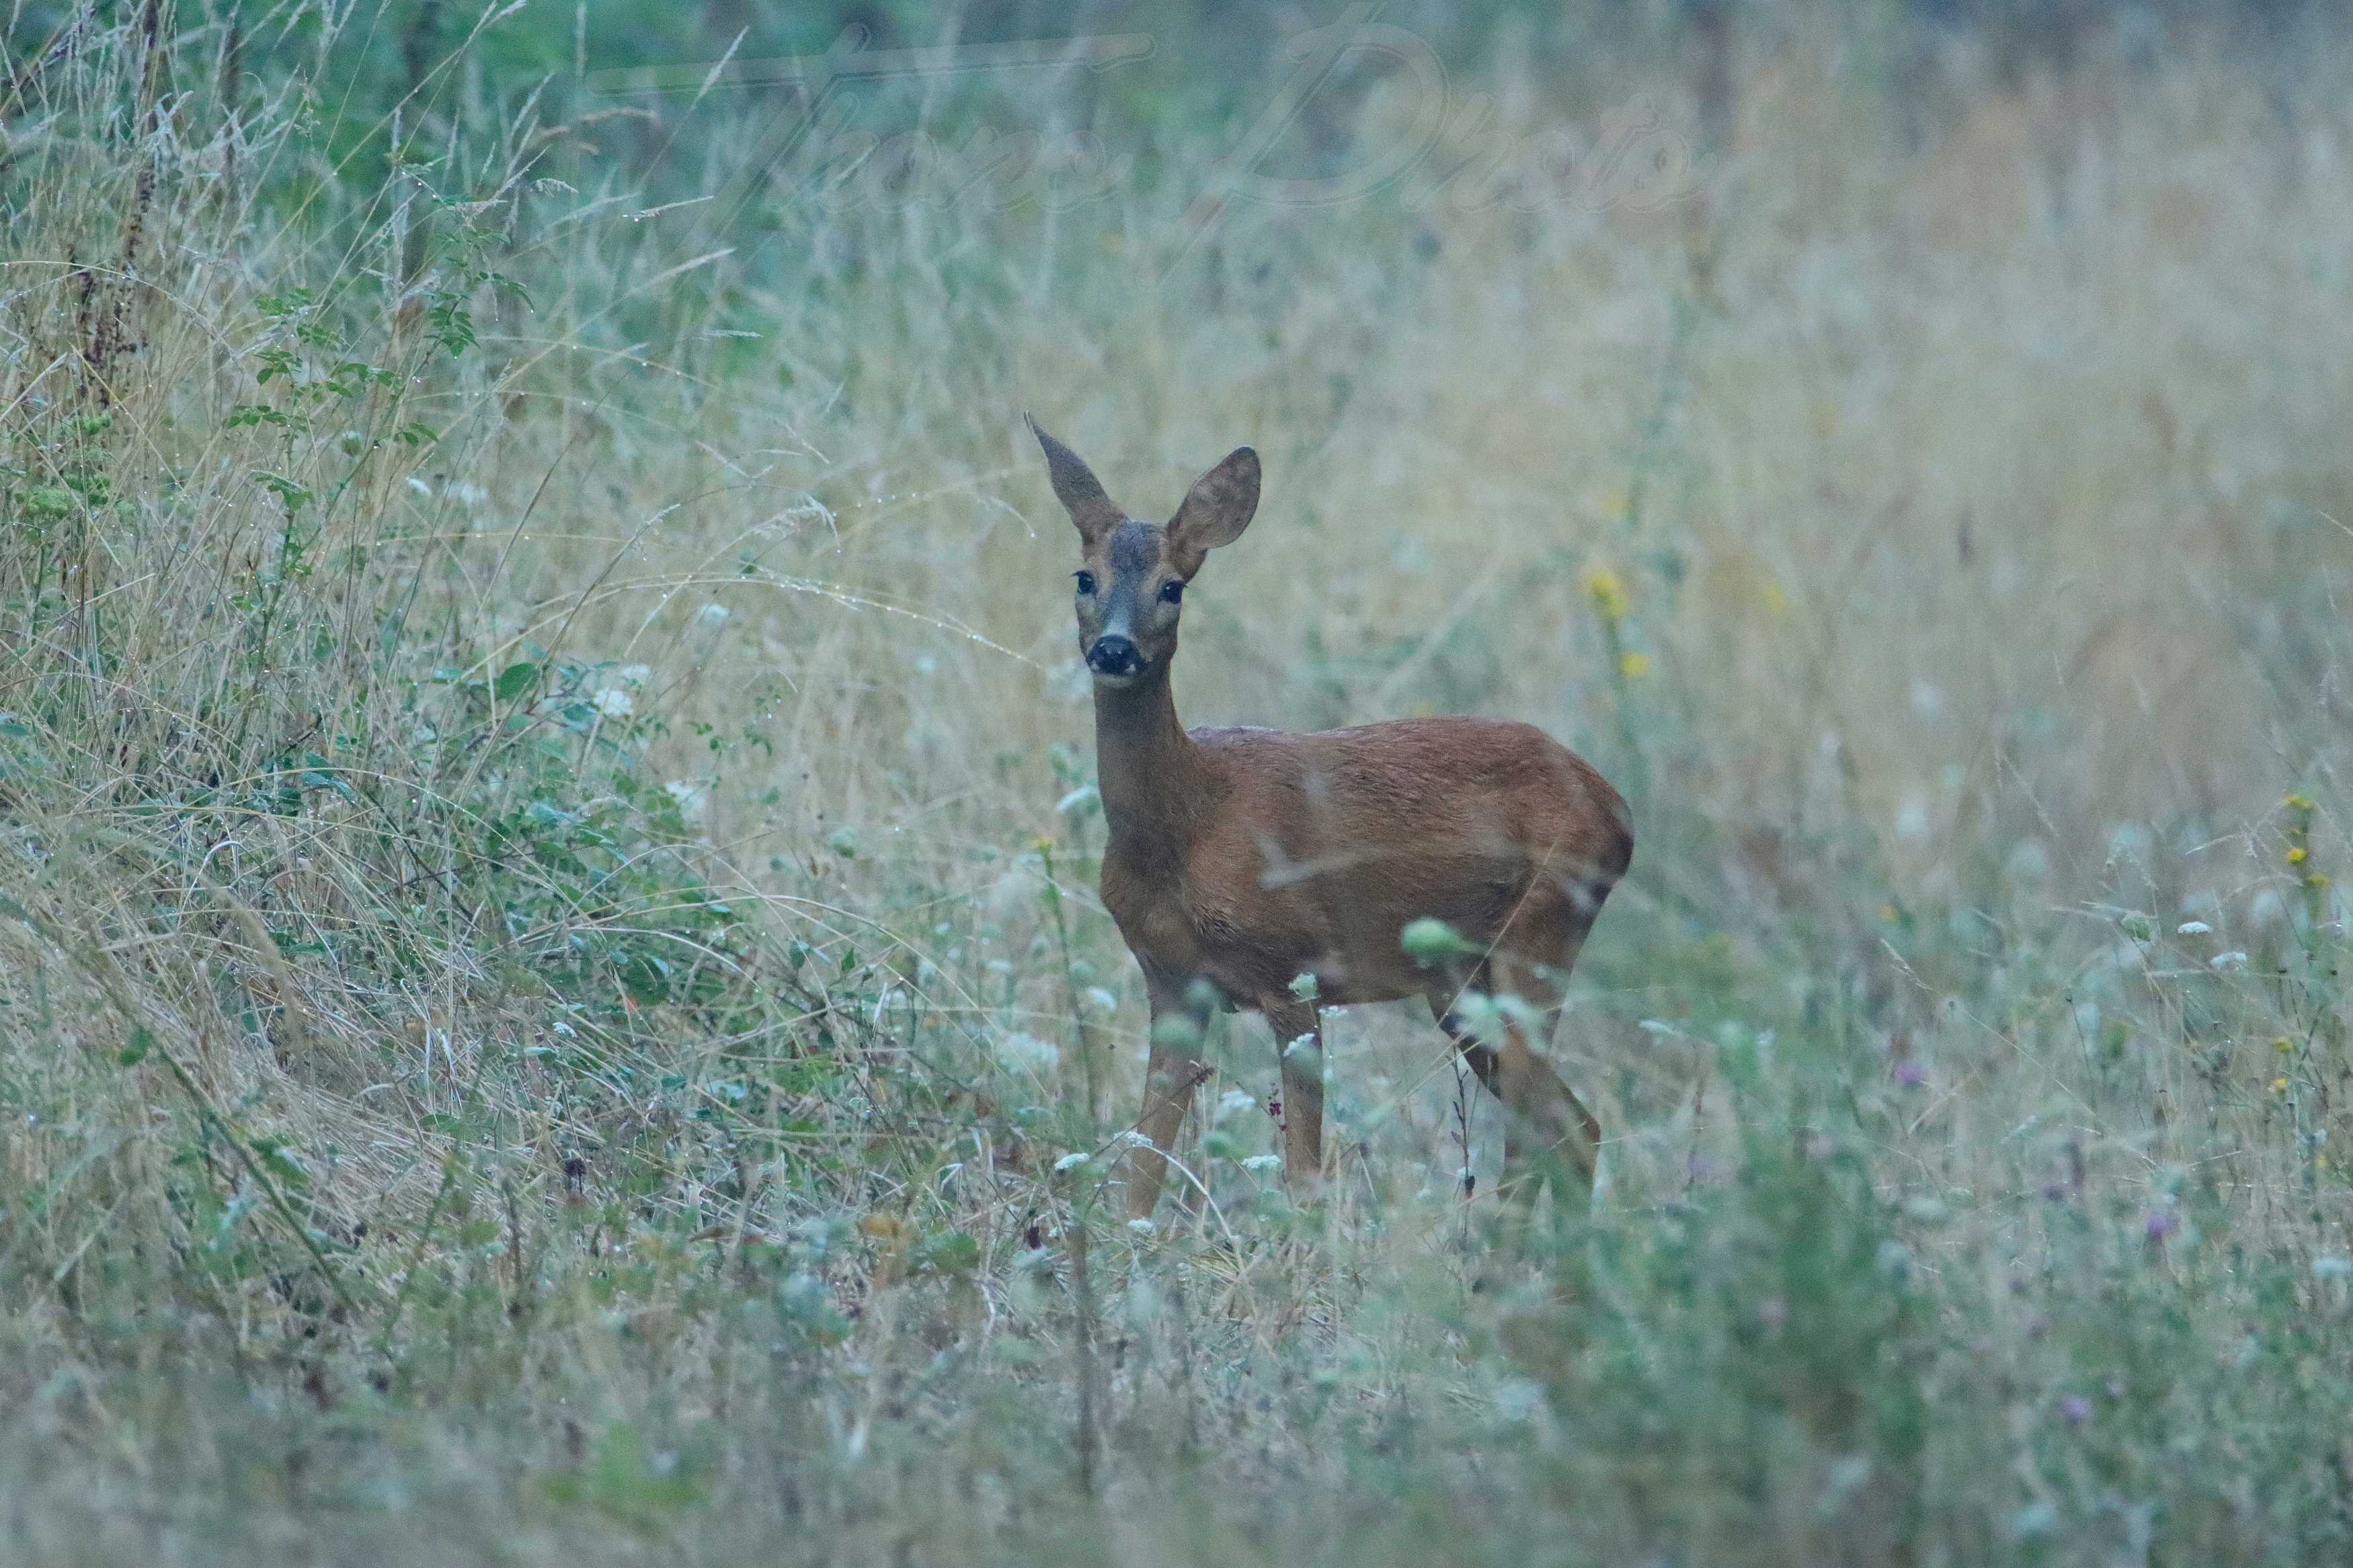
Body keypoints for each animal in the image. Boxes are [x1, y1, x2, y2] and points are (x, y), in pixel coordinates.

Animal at [1031, 421, 1638, 1222]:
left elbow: (1303, 1176)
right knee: (1571, 1127)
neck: (1188, 822)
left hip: (1537, 939)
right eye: (1083, 577)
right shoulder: (1171, 982)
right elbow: (1141, 1168)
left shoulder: (1293, 970)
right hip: (1459, 983)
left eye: (1172, 586)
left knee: (1547, 1126)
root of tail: (1618, 812)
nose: (1114, 649)